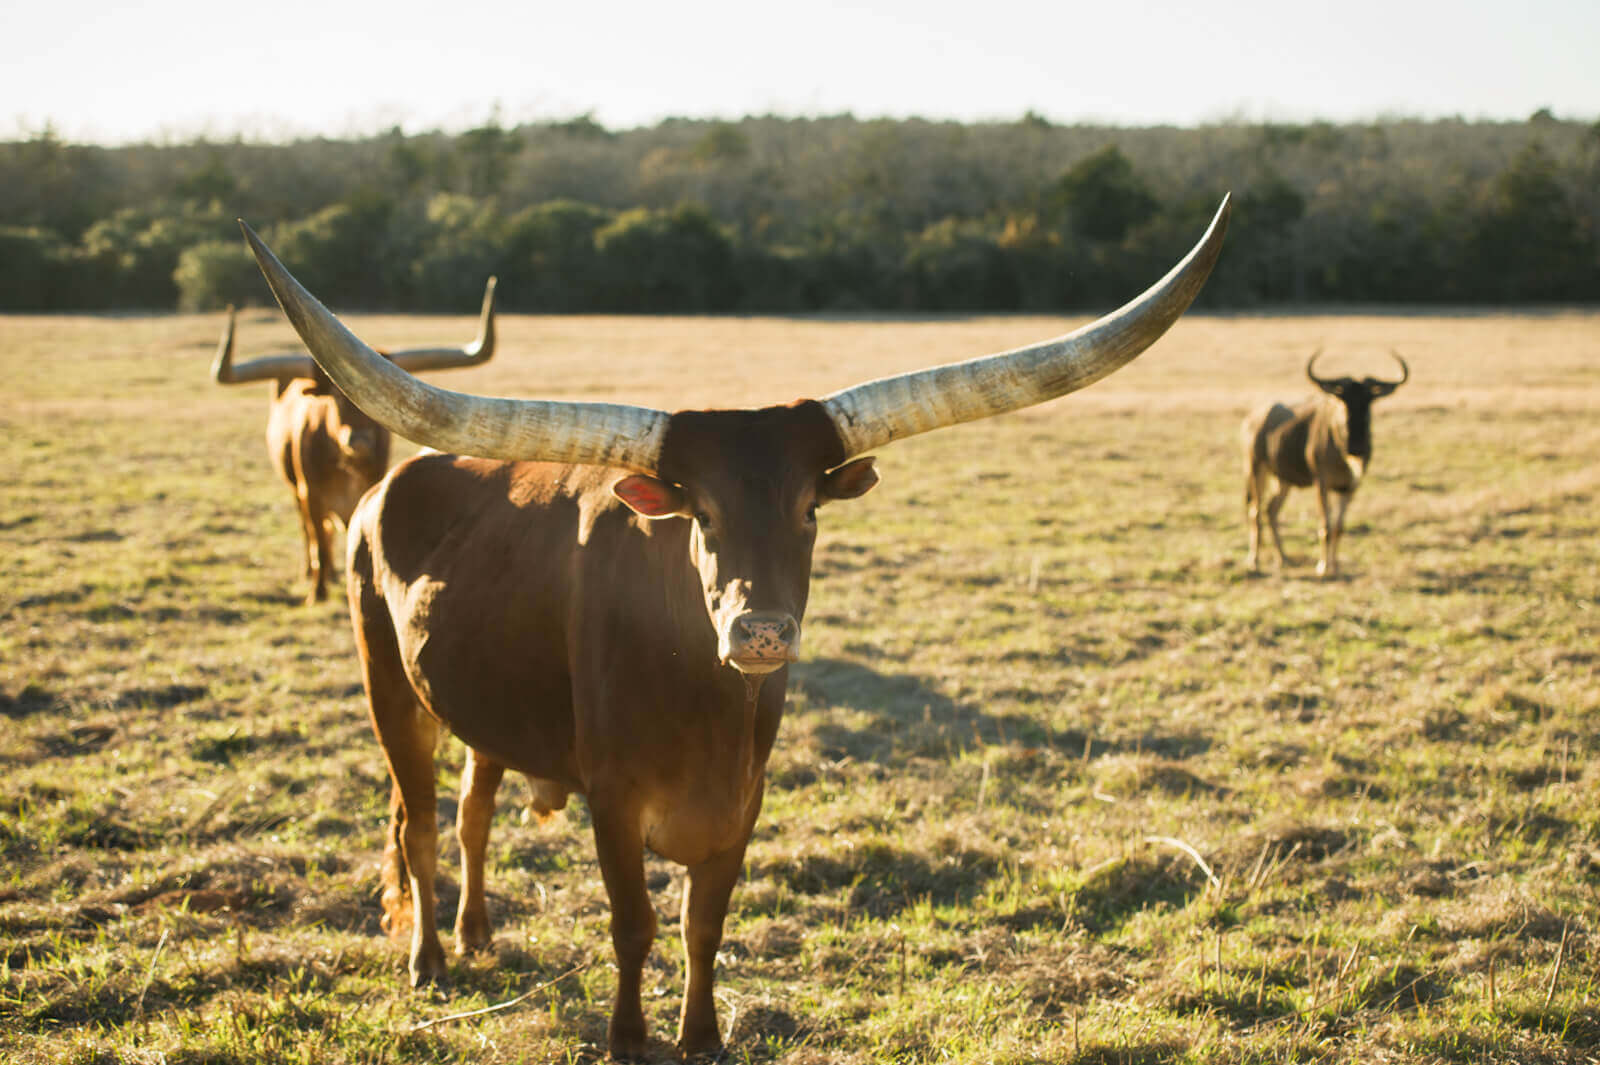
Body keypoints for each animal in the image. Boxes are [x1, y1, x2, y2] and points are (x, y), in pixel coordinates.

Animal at [212, 278, 496, 601]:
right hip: (295, 490)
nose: (359, 442)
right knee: (309, 532)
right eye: (336, 398)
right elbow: (319, 541)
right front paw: (318, 591)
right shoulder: (310, 493)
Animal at [1241, 348, 1408, 575]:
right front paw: (1322, 567)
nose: (1357, 446)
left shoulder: (1350, 487)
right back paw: (1254, 561)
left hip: (1283, 479)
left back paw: (1283, 558)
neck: (1342, 453)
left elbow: (1339, 528)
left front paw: (1335, 566)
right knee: (1255, 512)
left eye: (1369, 401)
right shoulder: (1322, 483)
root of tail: (1253, 416)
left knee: (1271, 510)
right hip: (1256, 469)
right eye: (1343, 400)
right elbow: (1326, 526)